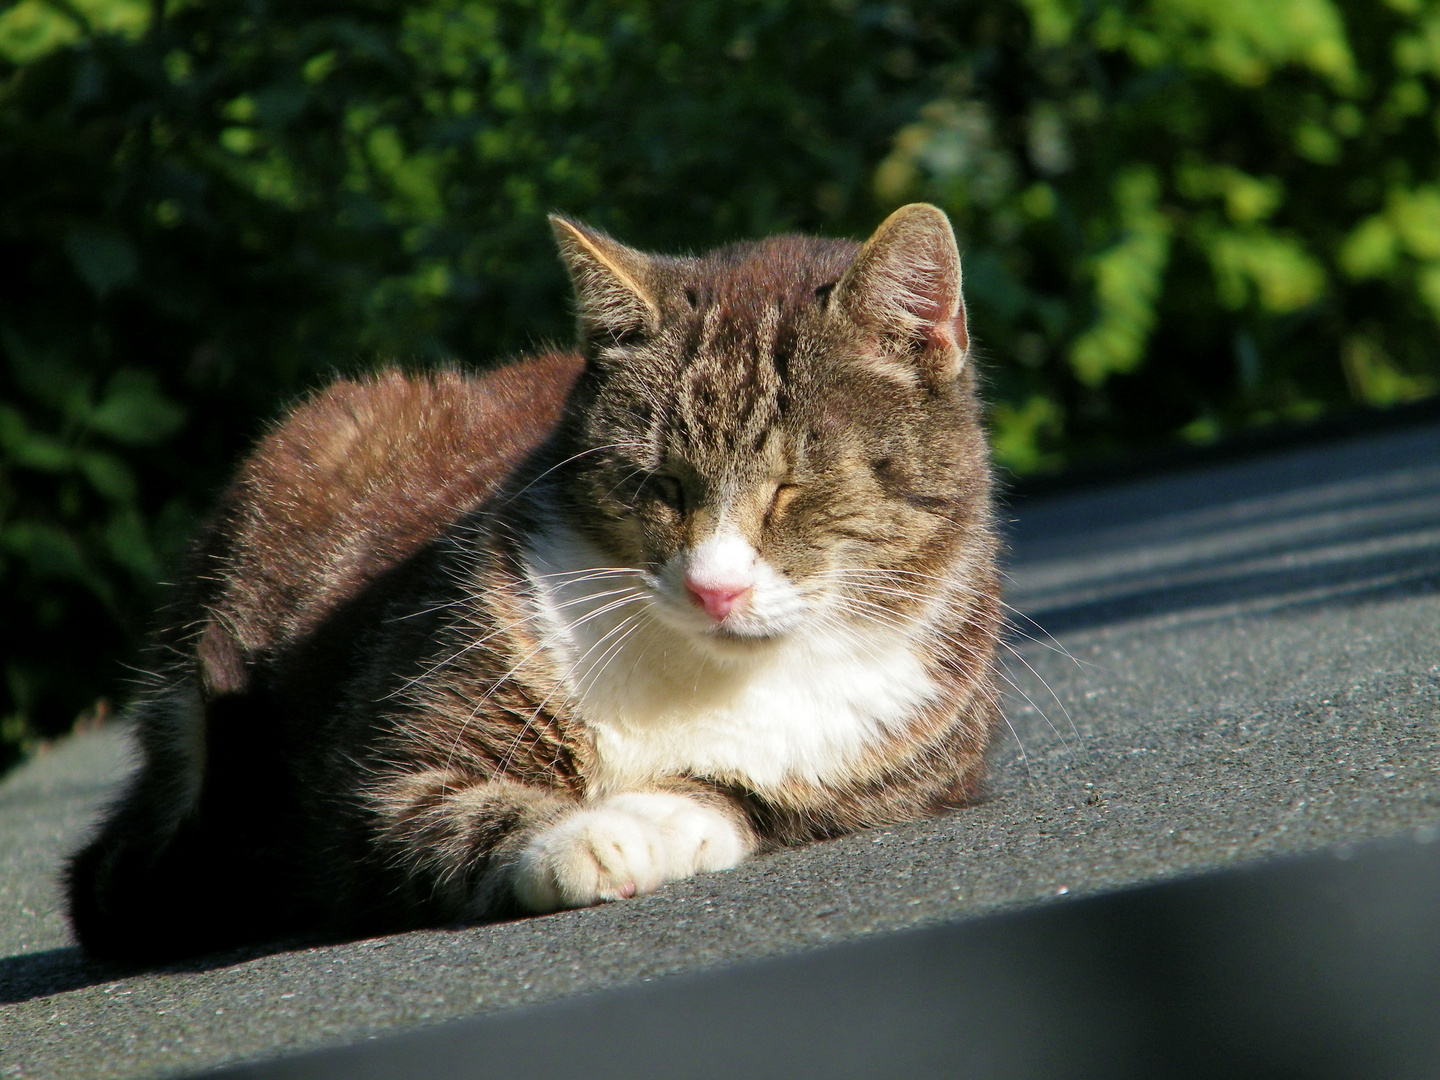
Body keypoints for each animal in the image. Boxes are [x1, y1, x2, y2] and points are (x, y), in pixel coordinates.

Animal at [64, 203, 1002, 961]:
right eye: (662, 485)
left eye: (792, 488)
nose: (715, 589)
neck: (703, 674)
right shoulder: (377, 775)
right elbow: (433, 809)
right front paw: (572, 843)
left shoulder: (903, 770)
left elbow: (745, 790)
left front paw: (639, 822)